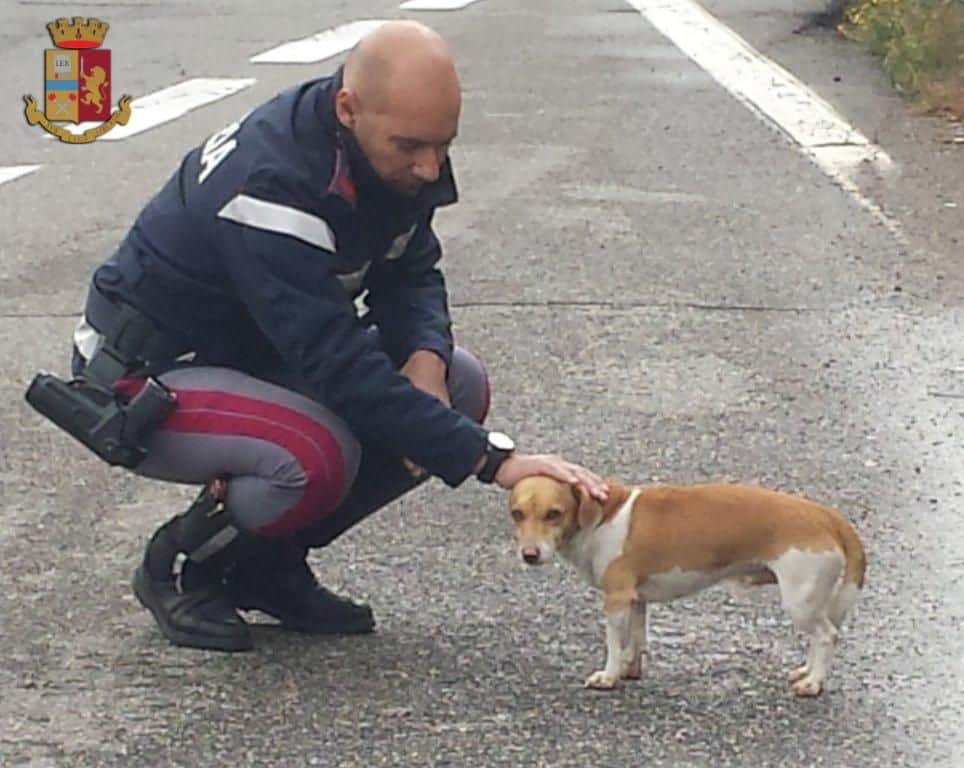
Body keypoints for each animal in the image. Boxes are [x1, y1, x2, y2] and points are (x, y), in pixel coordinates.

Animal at [508, 474, 868, 696]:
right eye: (517, 513)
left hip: (799, 601)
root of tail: (827, 516)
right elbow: (635, 642)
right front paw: (629, 670)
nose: (529, 555)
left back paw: (814, 684)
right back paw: (805, 672)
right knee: (818, 638)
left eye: (554, 513)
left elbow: (613, 644)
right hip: (808, 603)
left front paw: (608, 676)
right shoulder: (636, 600)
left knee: (827, 636)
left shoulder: (617, 600)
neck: (602, 516)